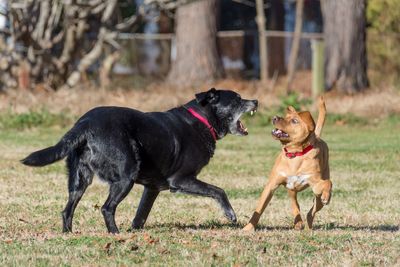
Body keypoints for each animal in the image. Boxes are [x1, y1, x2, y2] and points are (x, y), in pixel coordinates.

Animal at [21, 89, 258, 233]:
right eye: (237, 99)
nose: (256, 100)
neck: (202, 120)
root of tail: (85, 124)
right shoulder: (181, 180)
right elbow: (218, 190)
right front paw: (231, 214)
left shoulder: (152, 188)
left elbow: (141, 214)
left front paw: (135, 231)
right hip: (126, 176)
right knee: (106, 208)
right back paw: (115, 234)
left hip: (80, 180)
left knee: (67, 209)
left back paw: (68, 234)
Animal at [244, 97, 332, 231]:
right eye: (285, 116)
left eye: (294, 121)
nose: (274, 117)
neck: (295, 154)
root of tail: (317, 136)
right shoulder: (271, 185)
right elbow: (259, 208)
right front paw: (248, 228)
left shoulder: (315, 183)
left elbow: (328, 183)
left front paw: (326, 196)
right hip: (291, 188)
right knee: (295, 203)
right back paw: (298, 223)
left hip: (317, 190)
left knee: (312, 209)